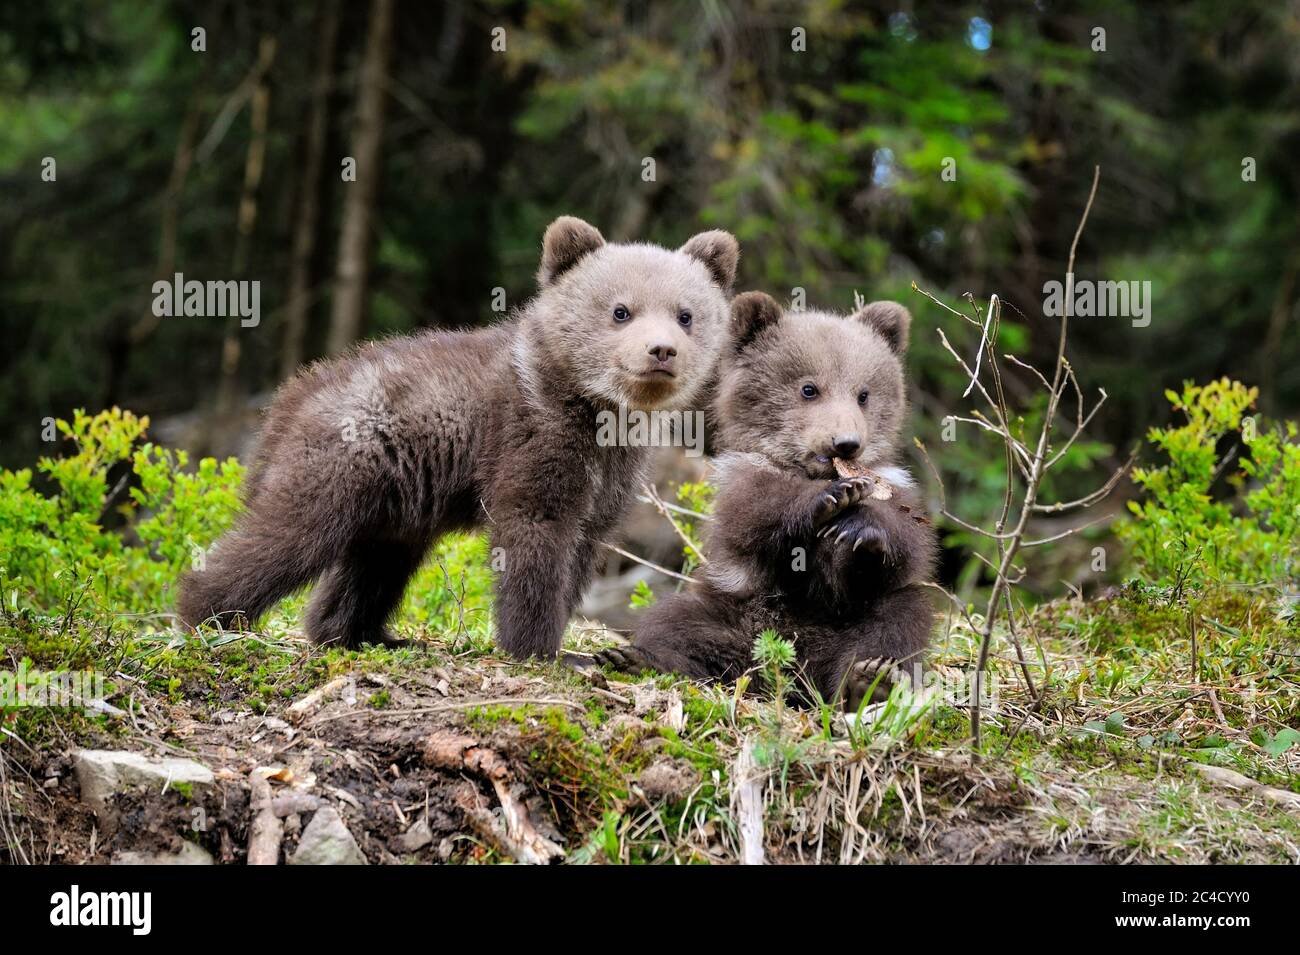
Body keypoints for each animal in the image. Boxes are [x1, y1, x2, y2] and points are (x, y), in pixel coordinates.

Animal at [178, 216, 740, 659]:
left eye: (686, 314)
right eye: (621, 310)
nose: (661, 350)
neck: (596, 411)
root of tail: (290, 398)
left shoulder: (611, 476)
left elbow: (584, 543)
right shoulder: (531, 438)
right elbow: (533, 532)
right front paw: (542, 648)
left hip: (396, 503)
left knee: (372, 566)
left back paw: (362, 634)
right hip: (342, 463)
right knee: (285, 537)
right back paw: (204, 614)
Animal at [596, 291, 938, 709]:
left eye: (864, 394)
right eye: (809, 388)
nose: (846, 442)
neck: (810, 469)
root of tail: (795, 673)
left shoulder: (892, 484)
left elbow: (908, 541)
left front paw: (858, 525)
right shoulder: (740, 478)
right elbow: (755, 513)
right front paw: (830, 497)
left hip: (857, 621)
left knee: (898, 621)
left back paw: (869, 680)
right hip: (733, 609)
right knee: (676, 620)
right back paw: (641, 658)